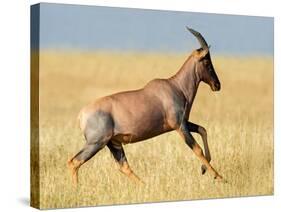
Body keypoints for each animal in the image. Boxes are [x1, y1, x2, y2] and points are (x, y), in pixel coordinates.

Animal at [68, 26, 223, 186]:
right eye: (207, 62)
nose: (217, 85)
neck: (176, 86)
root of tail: (81, 115)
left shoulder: (183, 123)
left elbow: (203, 130)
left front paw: (204, 169)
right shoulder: (179, 126)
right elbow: (197, 149)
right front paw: (219, 177)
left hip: (113, 143)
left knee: (124, 166)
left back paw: (144, 185)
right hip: (96, 143)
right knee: (74, 161)